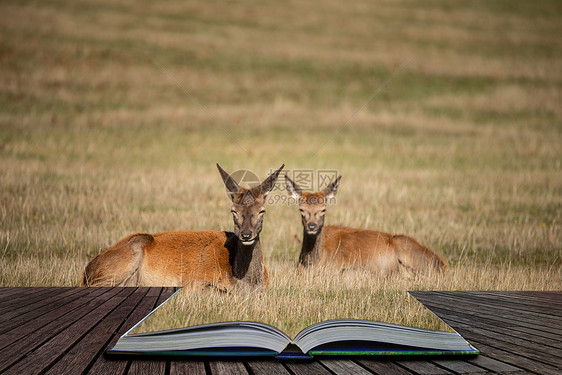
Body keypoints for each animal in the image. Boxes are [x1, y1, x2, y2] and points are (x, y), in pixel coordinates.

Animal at [284, 176, 446, 276]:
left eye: (323, 209)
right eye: (301, 209)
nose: (312, 226)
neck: (312, 263)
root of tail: (442, 264)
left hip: (407, 248)